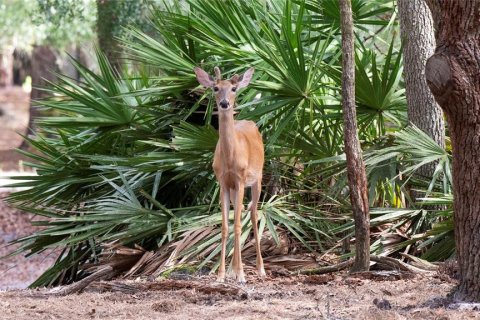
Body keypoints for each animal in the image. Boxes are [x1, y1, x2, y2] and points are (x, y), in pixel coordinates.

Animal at [193, 65, 264, 282]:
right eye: (215, 88)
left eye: (233, 89)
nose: (224, 103)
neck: (231, 157)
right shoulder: (223, 182)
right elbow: (225, 226)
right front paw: (222, 274)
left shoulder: (240, 180)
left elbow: (239, 225)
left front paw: (241, 274)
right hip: (234, 189)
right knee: (238, 218)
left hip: (258, 178)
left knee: (253, 213)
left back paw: (260, 268)